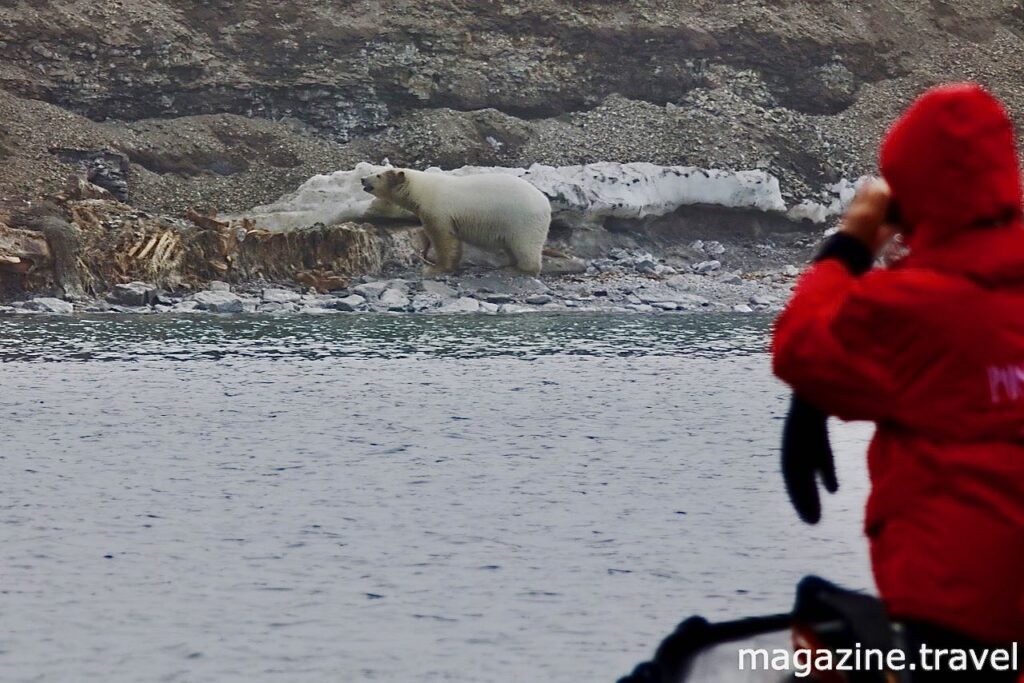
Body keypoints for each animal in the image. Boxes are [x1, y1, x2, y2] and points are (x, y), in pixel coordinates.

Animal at [362, 167, 552, 274]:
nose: (362, 179)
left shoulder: (438, 210)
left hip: (523, 220)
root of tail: (546, 203)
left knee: (525, 246)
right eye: (374, 171)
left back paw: (521, 268)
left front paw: (434, 268)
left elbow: (444, 238)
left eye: (377, 175)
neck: (423, 189)